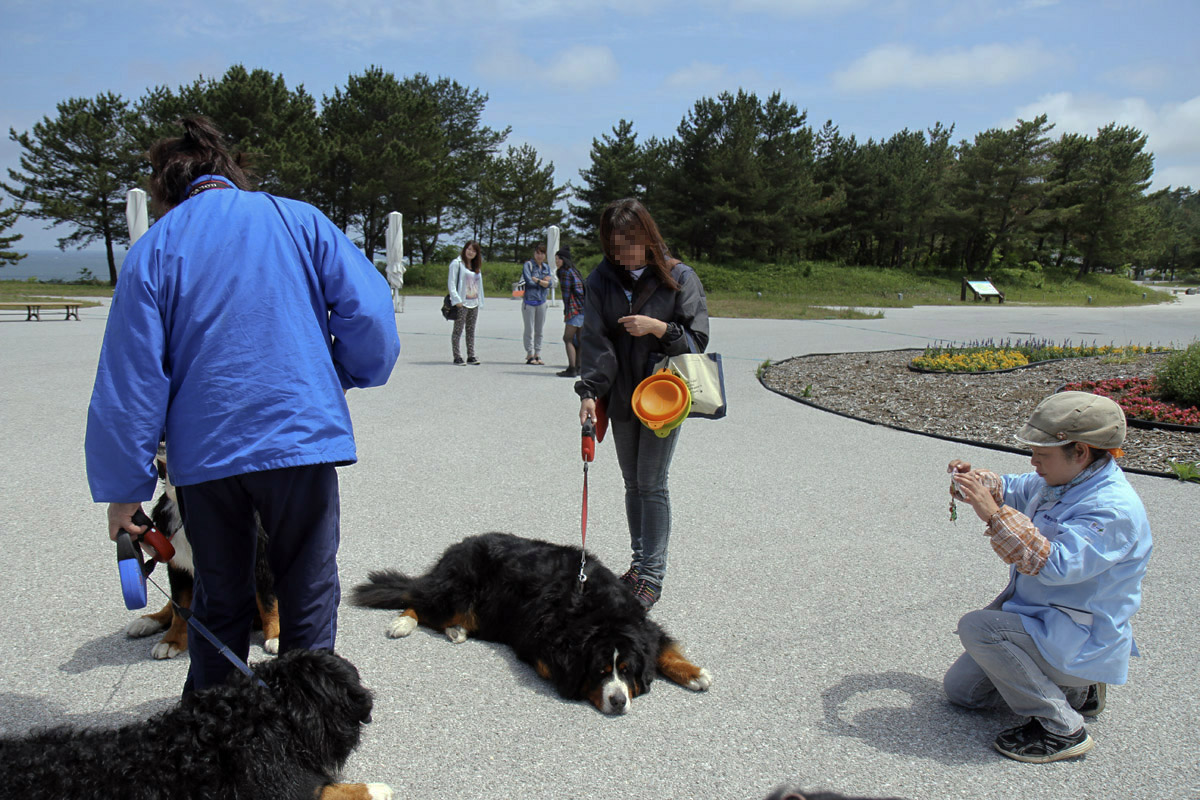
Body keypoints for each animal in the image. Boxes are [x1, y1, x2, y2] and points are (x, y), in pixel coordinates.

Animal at [355, 532, 710, 714]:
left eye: (625, 670)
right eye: (600, 672)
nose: (618, 700)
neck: (598, 612)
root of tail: (456, 548)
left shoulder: (643, 626)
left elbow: (663, 650)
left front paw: (693, 673)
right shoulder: (540, 646)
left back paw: (456, 629)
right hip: (457, 590)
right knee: (418, 601)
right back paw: (404, 623)